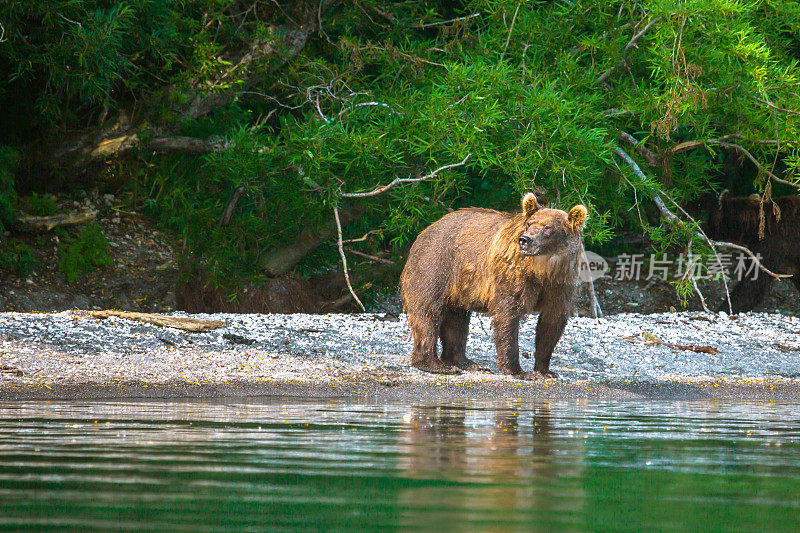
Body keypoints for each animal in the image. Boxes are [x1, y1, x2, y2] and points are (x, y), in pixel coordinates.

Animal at [400, 193, 588, 380]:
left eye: (547, 228)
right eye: (529, 224)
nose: (525, 240)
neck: (542, 270)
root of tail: (424, 231)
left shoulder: (560, 285)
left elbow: (552, 322)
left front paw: (545, 370)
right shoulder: (513, 276)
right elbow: (507, 316)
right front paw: (518, 371)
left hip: (458, 284)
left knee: (457, 319)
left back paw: (466, 363)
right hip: (436, 264)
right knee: (428, 312)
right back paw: (434, 364)